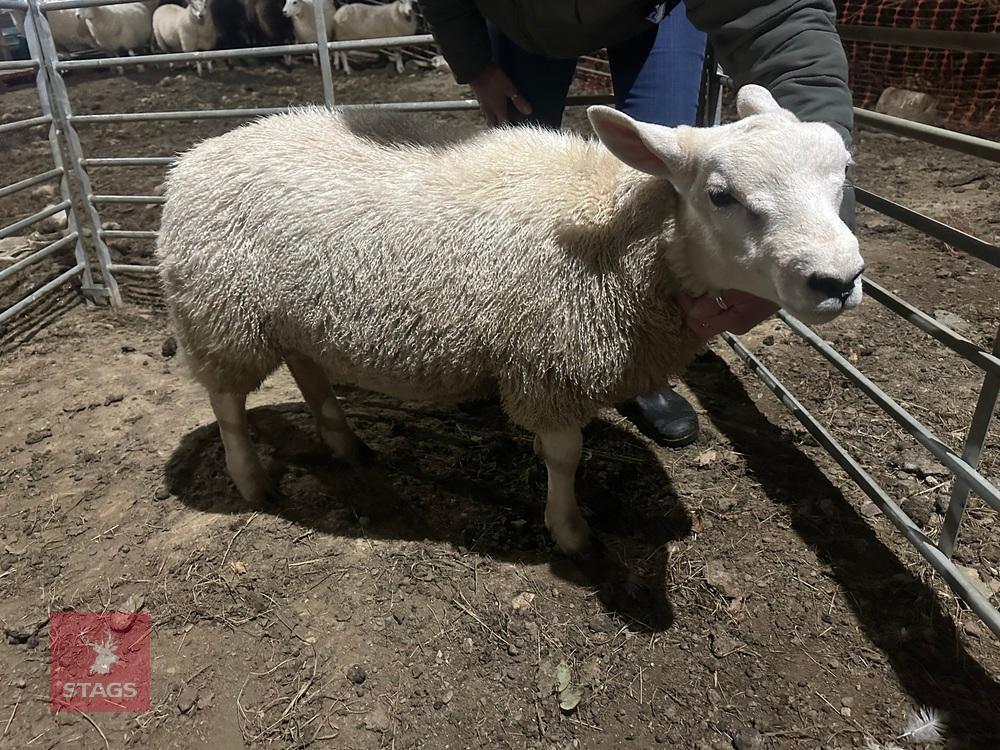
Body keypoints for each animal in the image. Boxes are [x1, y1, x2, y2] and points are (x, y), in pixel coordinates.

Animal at [156, 86, 864, 556]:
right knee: (226, 402)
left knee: (307, 370)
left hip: (290, 313)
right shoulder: (549, 363)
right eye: (720, 196)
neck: (619, 233)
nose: (838, 280)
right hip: (222, 316)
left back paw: (344, 443)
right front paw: (571, 532)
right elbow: (566, 455)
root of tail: (192, 157)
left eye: (842, 179)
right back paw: (251, 480)